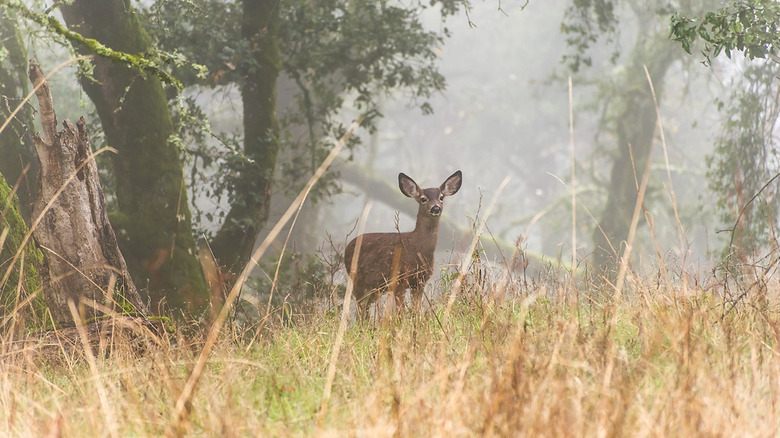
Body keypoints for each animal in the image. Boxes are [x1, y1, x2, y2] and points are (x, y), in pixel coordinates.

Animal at [344, 170, 462, 317]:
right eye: (423, 199)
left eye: (441, 197)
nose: (435, 208)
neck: (417, 249)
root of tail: (347, 247)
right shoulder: (399, 279)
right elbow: (401, 312)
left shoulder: (420, 281)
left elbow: (416, 310)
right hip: (357, 279)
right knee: (360, 310)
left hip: (374, 289)